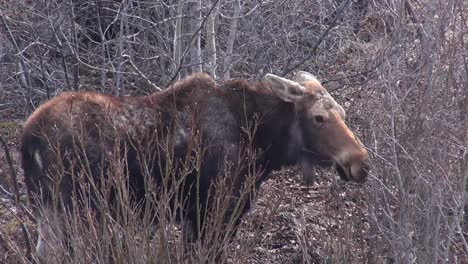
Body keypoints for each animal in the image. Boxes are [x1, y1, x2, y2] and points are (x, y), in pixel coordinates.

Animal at [21, 71, 370, 258]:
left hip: (47, 210)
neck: (262, 145)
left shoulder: (192, 216)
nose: (360, 161)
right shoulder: (216, 209)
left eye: (341, 111)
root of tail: (28, 139)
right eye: (319, 117)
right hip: (77, 212)